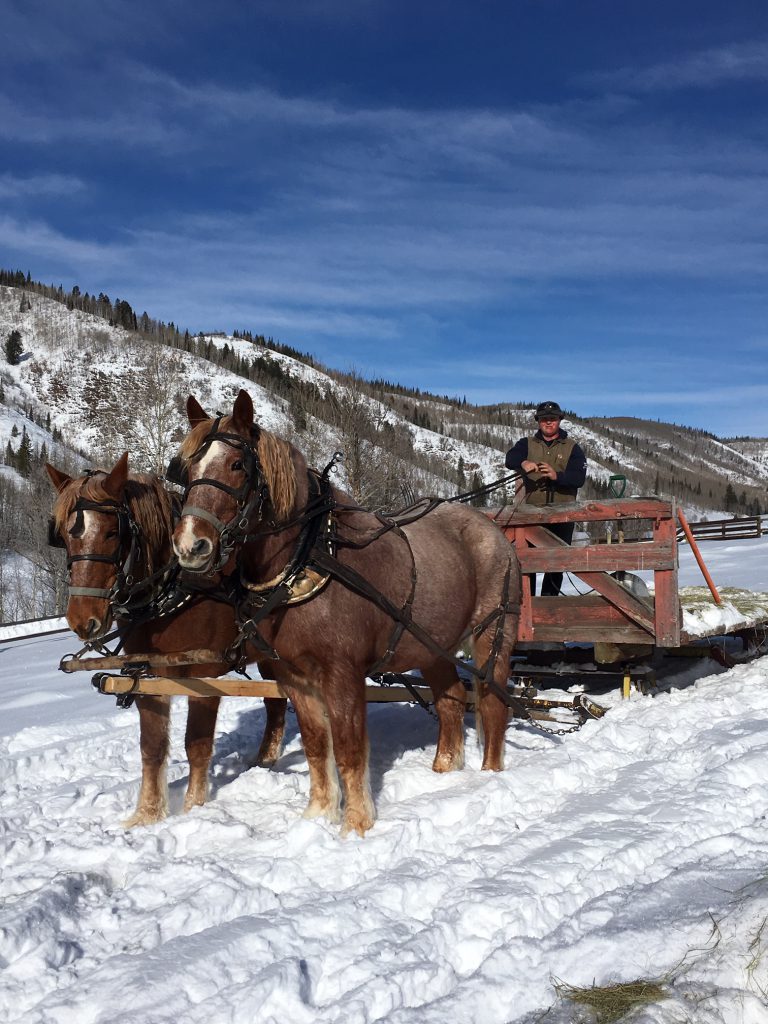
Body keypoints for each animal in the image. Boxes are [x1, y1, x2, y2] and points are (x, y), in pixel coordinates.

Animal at [46, 452, 290, 827]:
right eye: (63, 536)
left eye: (113, 532)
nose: (82, 620)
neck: (173, 593)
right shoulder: (147, 676)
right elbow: (152, 747)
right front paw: (146, 815)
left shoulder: (204, 678)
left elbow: (197, 744)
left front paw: (193, 808)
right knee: (276, 701)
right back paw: (265, 759)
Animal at [173, 387, 524, 835]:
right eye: (188, 468)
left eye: (237, 465)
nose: (190, 546)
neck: (308, 557)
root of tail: (493, 530)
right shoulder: (295, 677)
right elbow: (316, 746)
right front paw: (319, 815)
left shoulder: (343, 673)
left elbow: (349, 748)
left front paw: (356, 825)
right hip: (433, 646)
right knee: (450, 701)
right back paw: (444, 772)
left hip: (492, 633)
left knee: (493, 703)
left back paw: (490, 776)